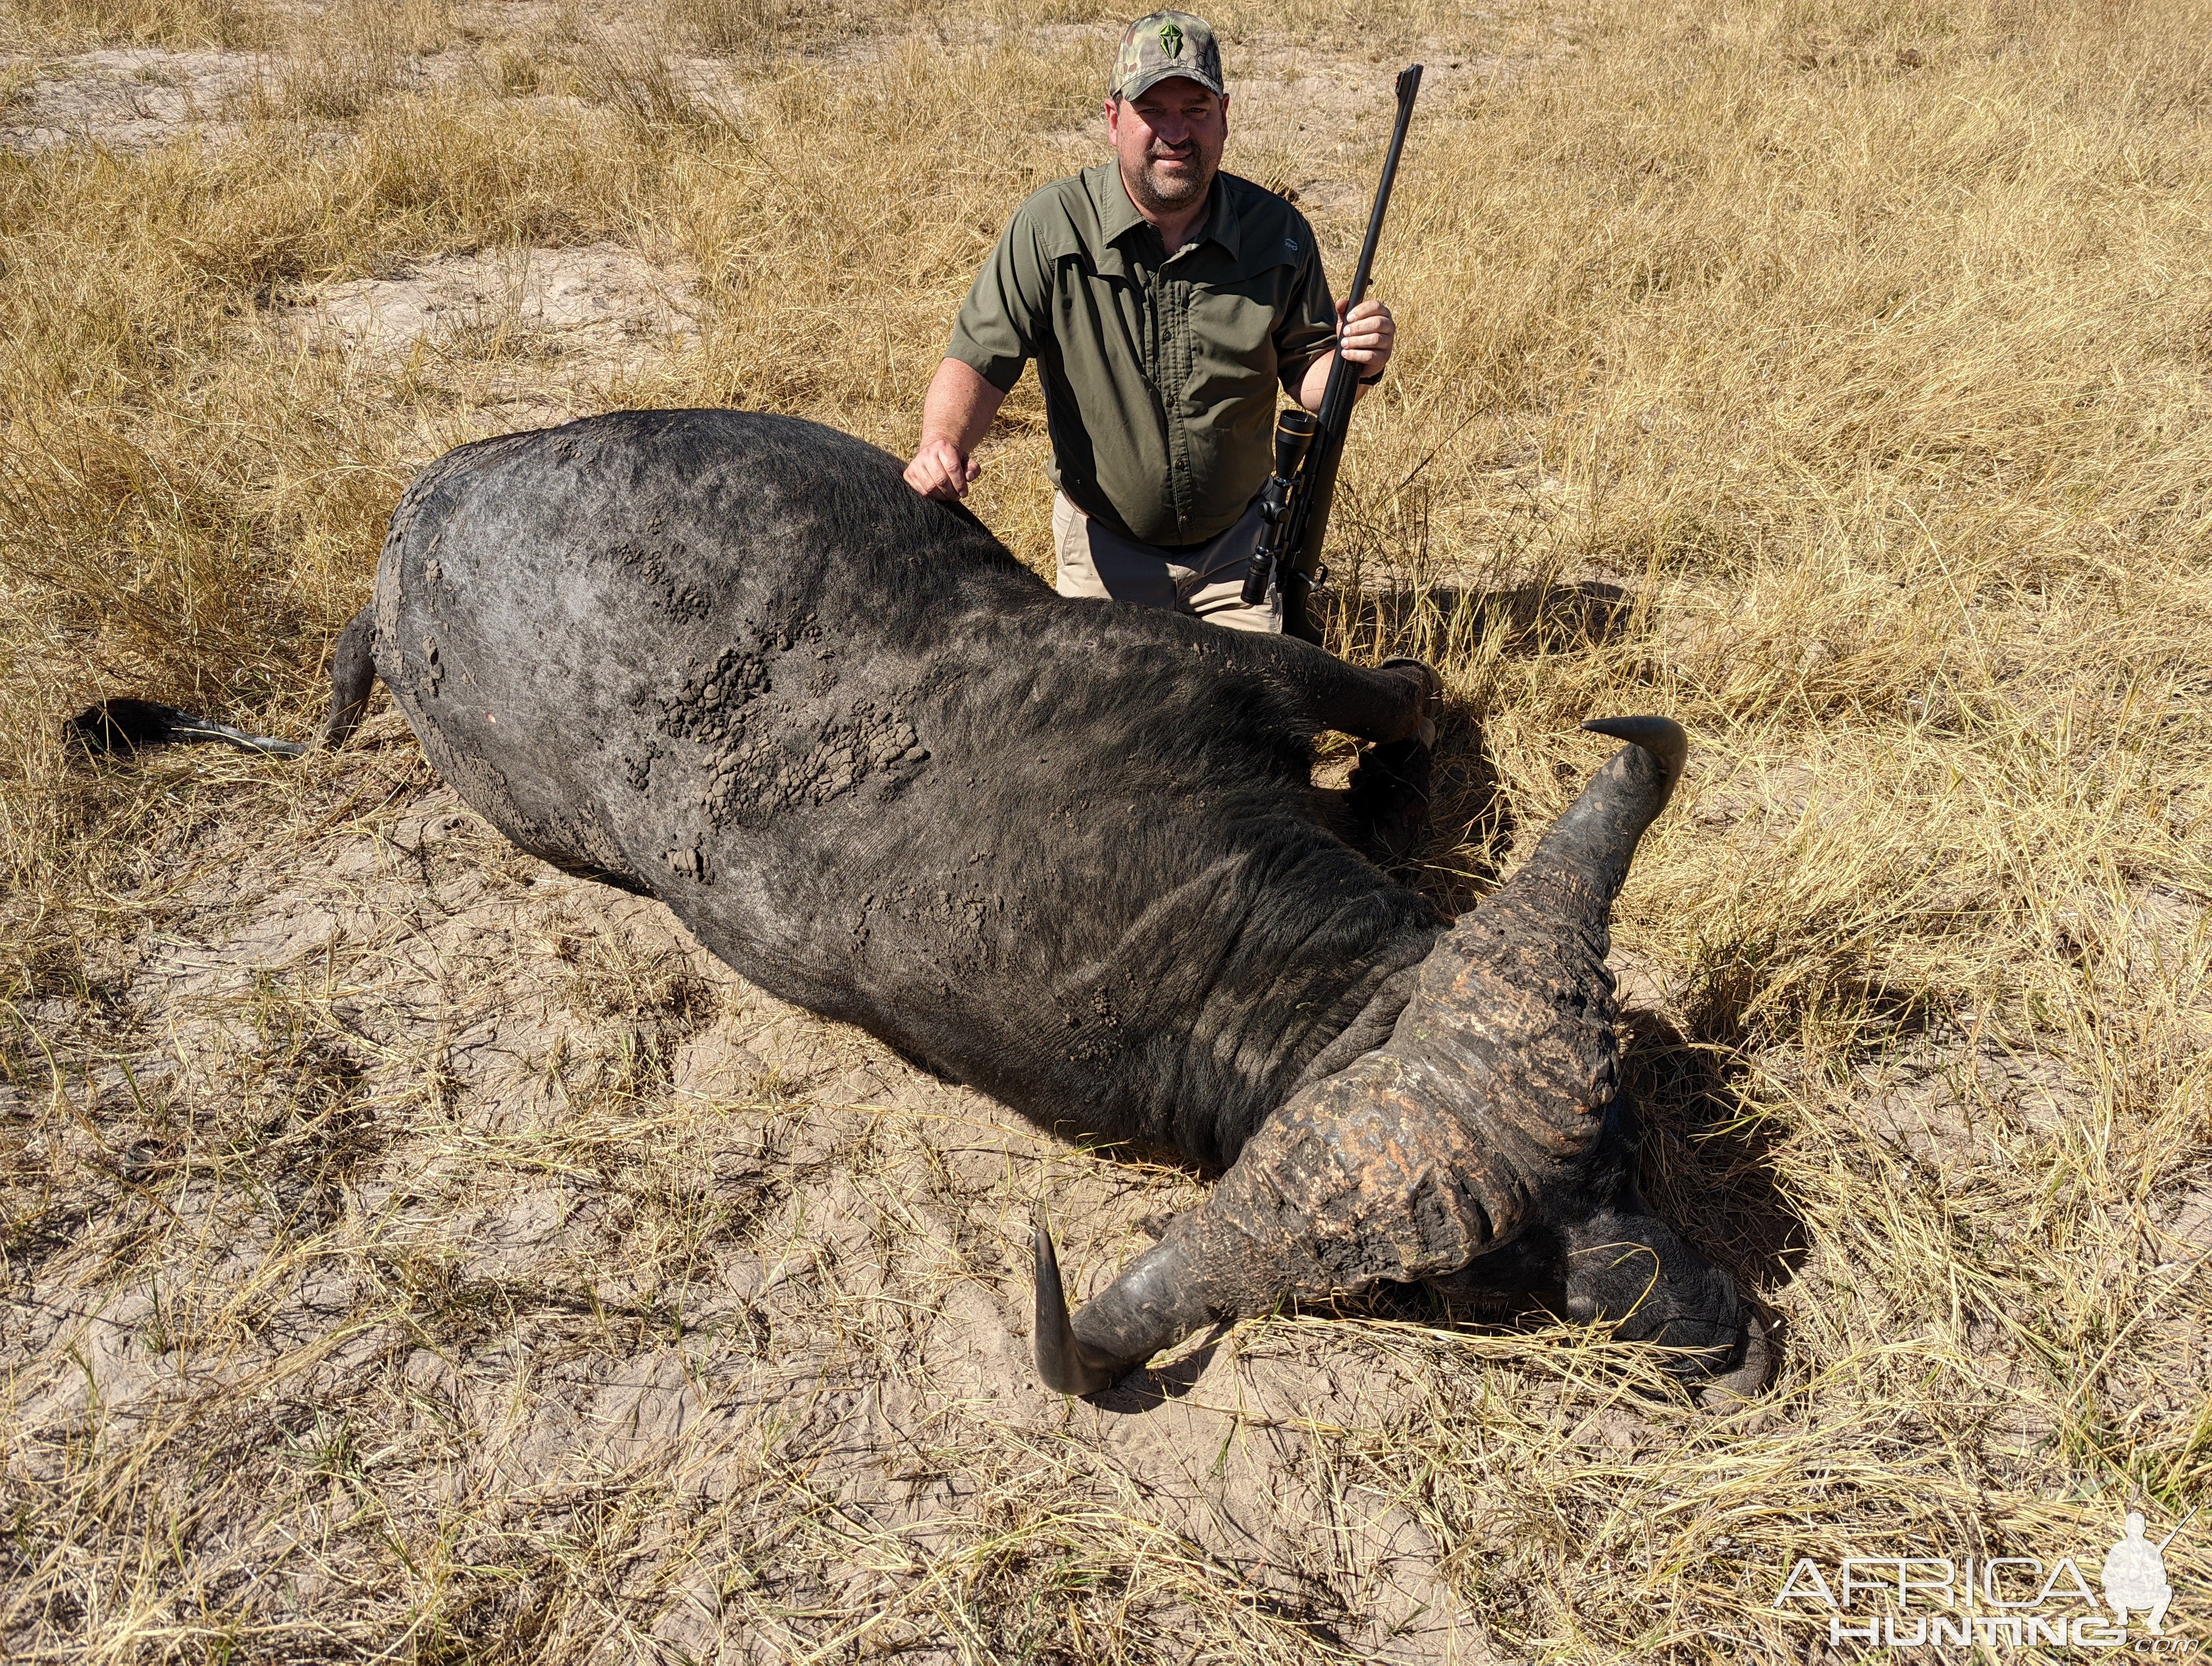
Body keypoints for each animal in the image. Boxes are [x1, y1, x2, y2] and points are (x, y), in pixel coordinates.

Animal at [86, 409, 1770, 1398]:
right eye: (1498, 1283)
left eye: (1623, 1154)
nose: (1732, 1349)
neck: (1182, 901)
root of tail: (401, 545)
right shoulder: (1251, 676)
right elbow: (1413, 692)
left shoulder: (1265, 686)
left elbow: (1406, 712)